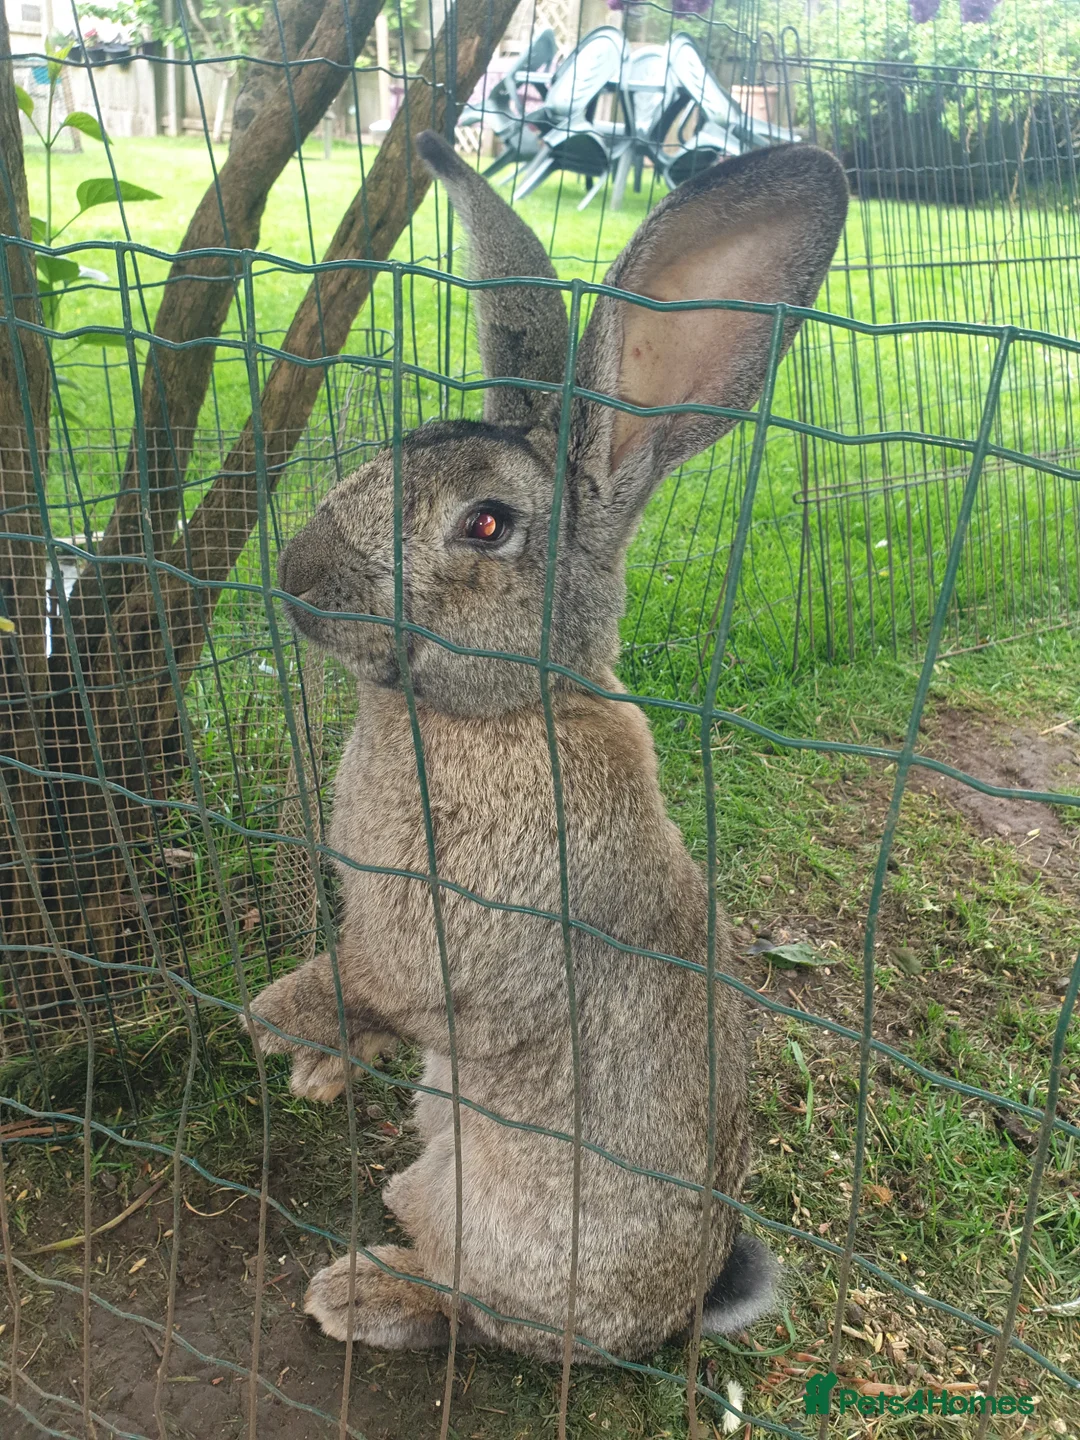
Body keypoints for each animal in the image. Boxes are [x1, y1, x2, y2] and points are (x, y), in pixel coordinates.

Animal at [248, 129, 848, 1362]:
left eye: (486, 524)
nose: (296, 578)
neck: (504, 710)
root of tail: (673, 1311)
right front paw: (315, 1066)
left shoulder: (437, 948)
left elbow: (370, 984)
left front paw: (276, 1026)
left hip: (505, 1226)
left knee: (479, 1309)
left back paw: (366, 1291)